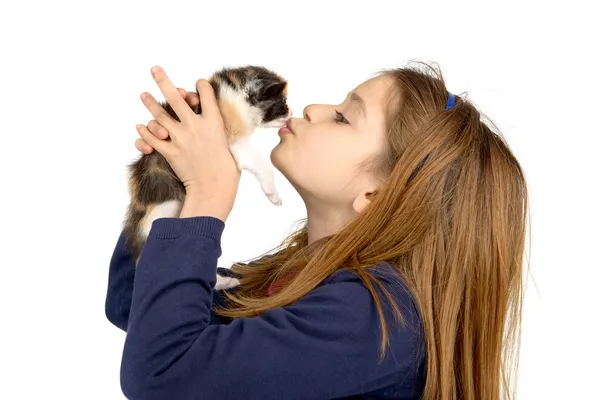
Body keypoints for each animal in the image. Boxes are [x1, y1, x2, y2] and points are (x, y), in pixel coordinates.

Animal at [123, 65, 292, 282]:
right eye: (283, 102)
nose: (291, 112)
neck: (238, 90)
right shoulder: (234, 138)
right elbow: (262, 162)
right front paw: (273, 194)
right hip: (165, 208)